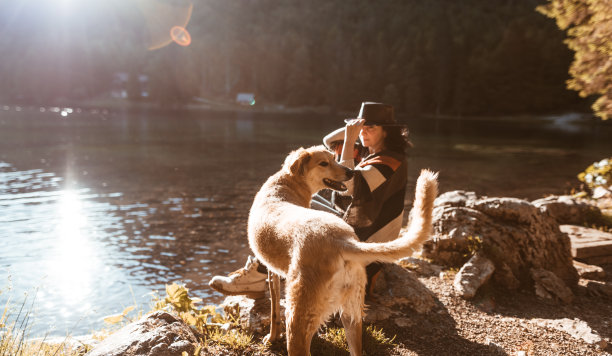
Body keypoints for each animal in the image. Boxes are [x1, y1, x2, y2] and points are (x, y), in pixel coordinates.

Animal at [246, 145, 438, 356]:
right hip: (352, 314)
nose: (351, 172)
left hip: (297, 317)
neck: (284, 186)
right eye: (324, 162)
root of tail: (342, 241)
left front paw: (271, 338)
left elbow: (274, 311)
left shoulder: (271, 272)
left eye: (333, 158)